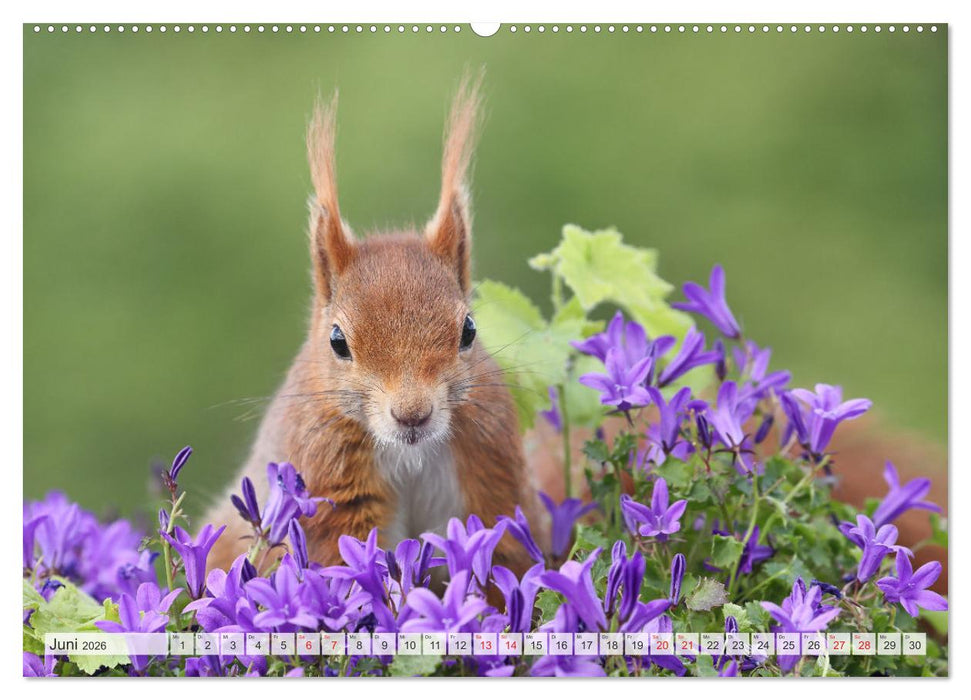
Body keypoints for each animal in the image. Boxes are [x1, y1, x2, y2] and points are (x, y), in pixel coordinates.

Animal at [204, 78, 546, 576]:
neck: (410, 453)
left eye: (469, 330)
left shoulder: (489, 467)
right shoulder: (327, 476)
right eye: (337, 342)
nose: (413, 414)